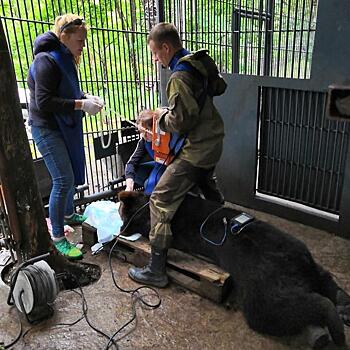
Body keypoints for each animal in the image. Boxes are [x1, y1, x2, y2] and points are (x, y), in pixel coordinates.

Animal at [117, 191, 350, 348]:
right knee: (327, 281)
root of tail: (299, 262)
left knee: (305, 305)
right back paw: (344, 305)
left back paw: (336, 328)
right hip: (308, 262)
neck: (145, 207)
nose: (121, 225)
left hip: (263, 294)